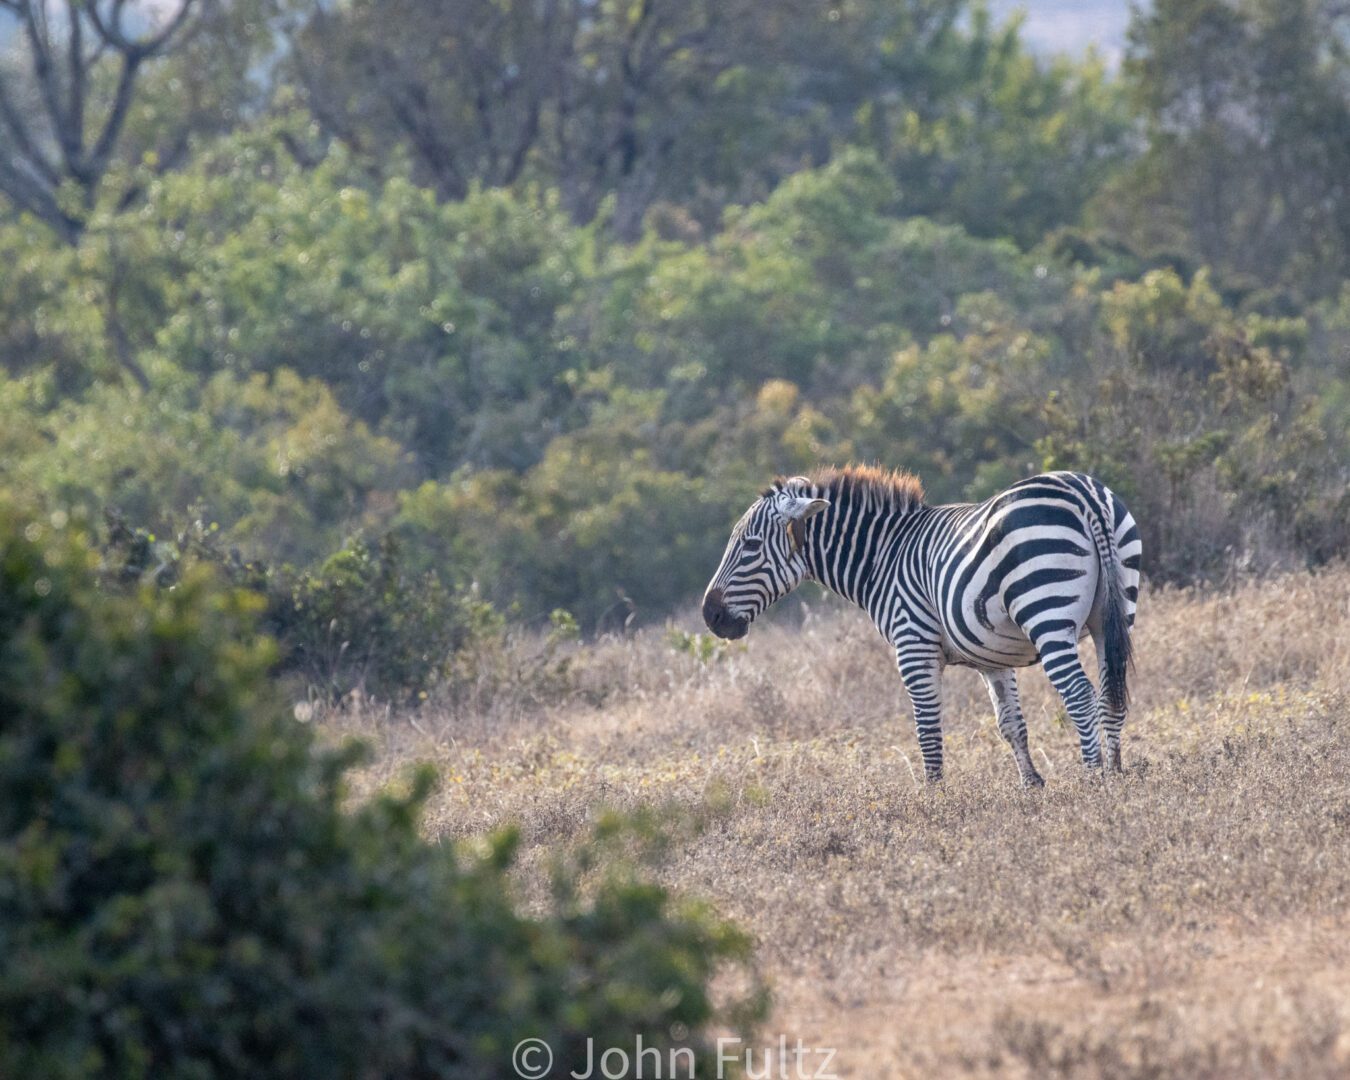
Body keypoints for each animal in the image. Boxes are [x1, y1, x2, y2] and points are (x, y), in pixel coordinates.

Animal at [702, 464, 1144, 783]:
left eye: (750, 546)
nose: (711, 616)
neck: (883, 555)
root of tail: (1082, 492)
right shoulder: (993, 656)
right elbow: (1011, 725)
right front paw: (1032, 786)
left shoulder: (912, 646)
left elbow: (927, 731)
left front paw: (935, 799)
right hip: (1113, 615)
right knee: (1111, 694)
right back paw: (1116, 774)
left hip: (1046, 611)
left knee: (1080, 694)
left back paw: (1093, 779)